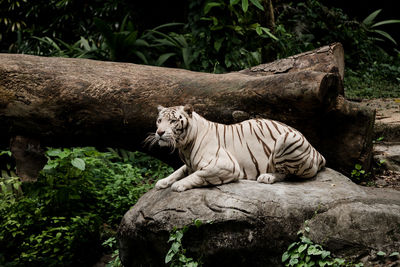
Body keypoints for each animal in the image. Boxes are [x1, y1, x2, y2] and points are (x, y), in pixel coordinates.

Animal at [145, 105, 326, 193]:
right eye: (159, 120)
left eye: (173, 121)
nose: (159, 132)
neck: (185, 147)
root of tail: (316, 151)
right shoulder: (189, 164)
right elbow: (178, 171)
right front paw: (162, 182)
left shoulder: (225, 165)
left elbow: (198, 175)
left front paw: (178, 185)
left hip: (286, 139)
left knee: (290, 174)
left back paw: (267, 176)